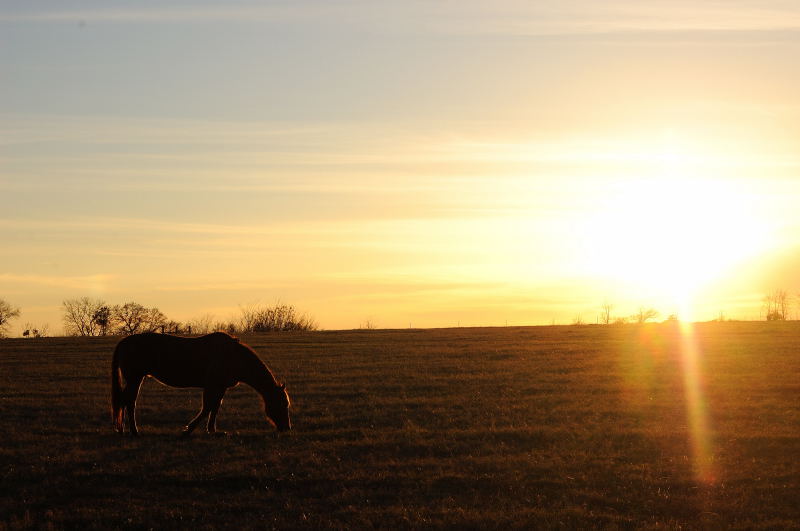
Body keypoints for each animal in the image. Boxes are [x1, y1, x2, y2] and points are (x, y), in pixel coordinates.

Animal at [108, 332, 290, 436]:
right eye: (282, 404)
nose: (287, 428)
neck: (233, 356)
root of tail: (124, 342)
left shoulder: (221, 387)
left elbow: (215, 407)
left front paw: (213, 430)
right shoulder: (212, 386)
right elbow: (207, 407)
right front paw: (189, 429)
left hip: (136, 379)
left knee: (125, 401)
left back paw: (124, 429)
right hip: (135, 378)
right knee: (129, 401)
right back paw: (133, 431)